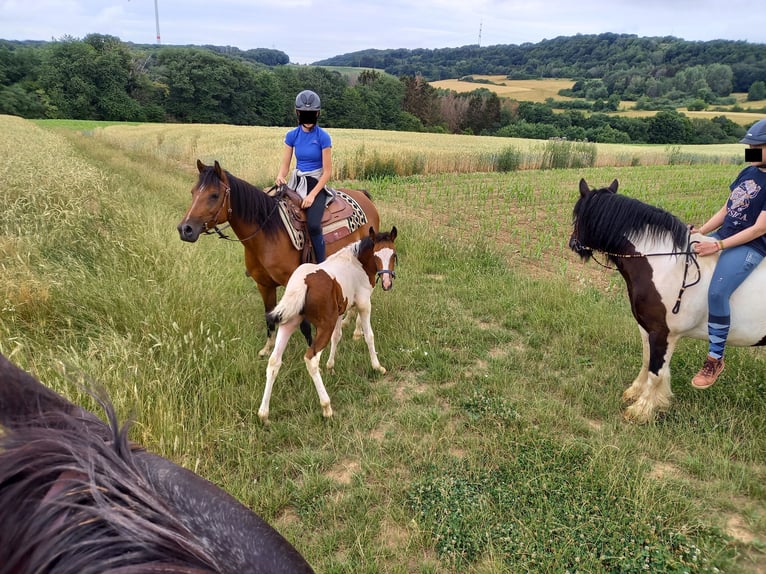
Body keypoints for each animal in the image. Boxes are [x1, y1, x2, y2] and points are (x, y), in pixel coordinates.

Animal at [177, 160, 380, 357]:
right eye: (193, 192)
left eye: (214, 195)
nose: (185, 229)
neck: (267, 234)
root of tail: (361, 194)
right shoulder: (264, 285)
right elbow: (269, 316)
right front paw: (267, 348)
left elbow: (304, 325)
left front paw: (312, 350)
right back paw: (346, 321)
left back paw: (357, 330)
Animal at [257, 226, 398, 423]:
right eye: (376, 255)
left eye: (393, 254)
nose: (386, 283)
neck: (356, 262)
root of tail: (303, 283)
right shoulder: (364, 304)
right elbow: (369, 336)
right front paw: (377, 367)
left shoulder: (339, 312)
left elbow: (336, 337)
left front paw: (331, 366)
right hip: (324, 326)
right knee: (311, 359)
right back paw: (326, 407)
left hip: (289, 324)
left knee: (274, 361)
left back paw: (263, 414)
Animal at [569, 178, 766, 423]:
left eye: (577, 216)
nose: (573, 243)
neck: (667, 264)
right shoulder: (647, 328)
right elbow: (647, 361)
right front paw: (636, 393)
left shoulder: (664, 334)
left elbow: (656, 372)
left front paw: (642, 409)